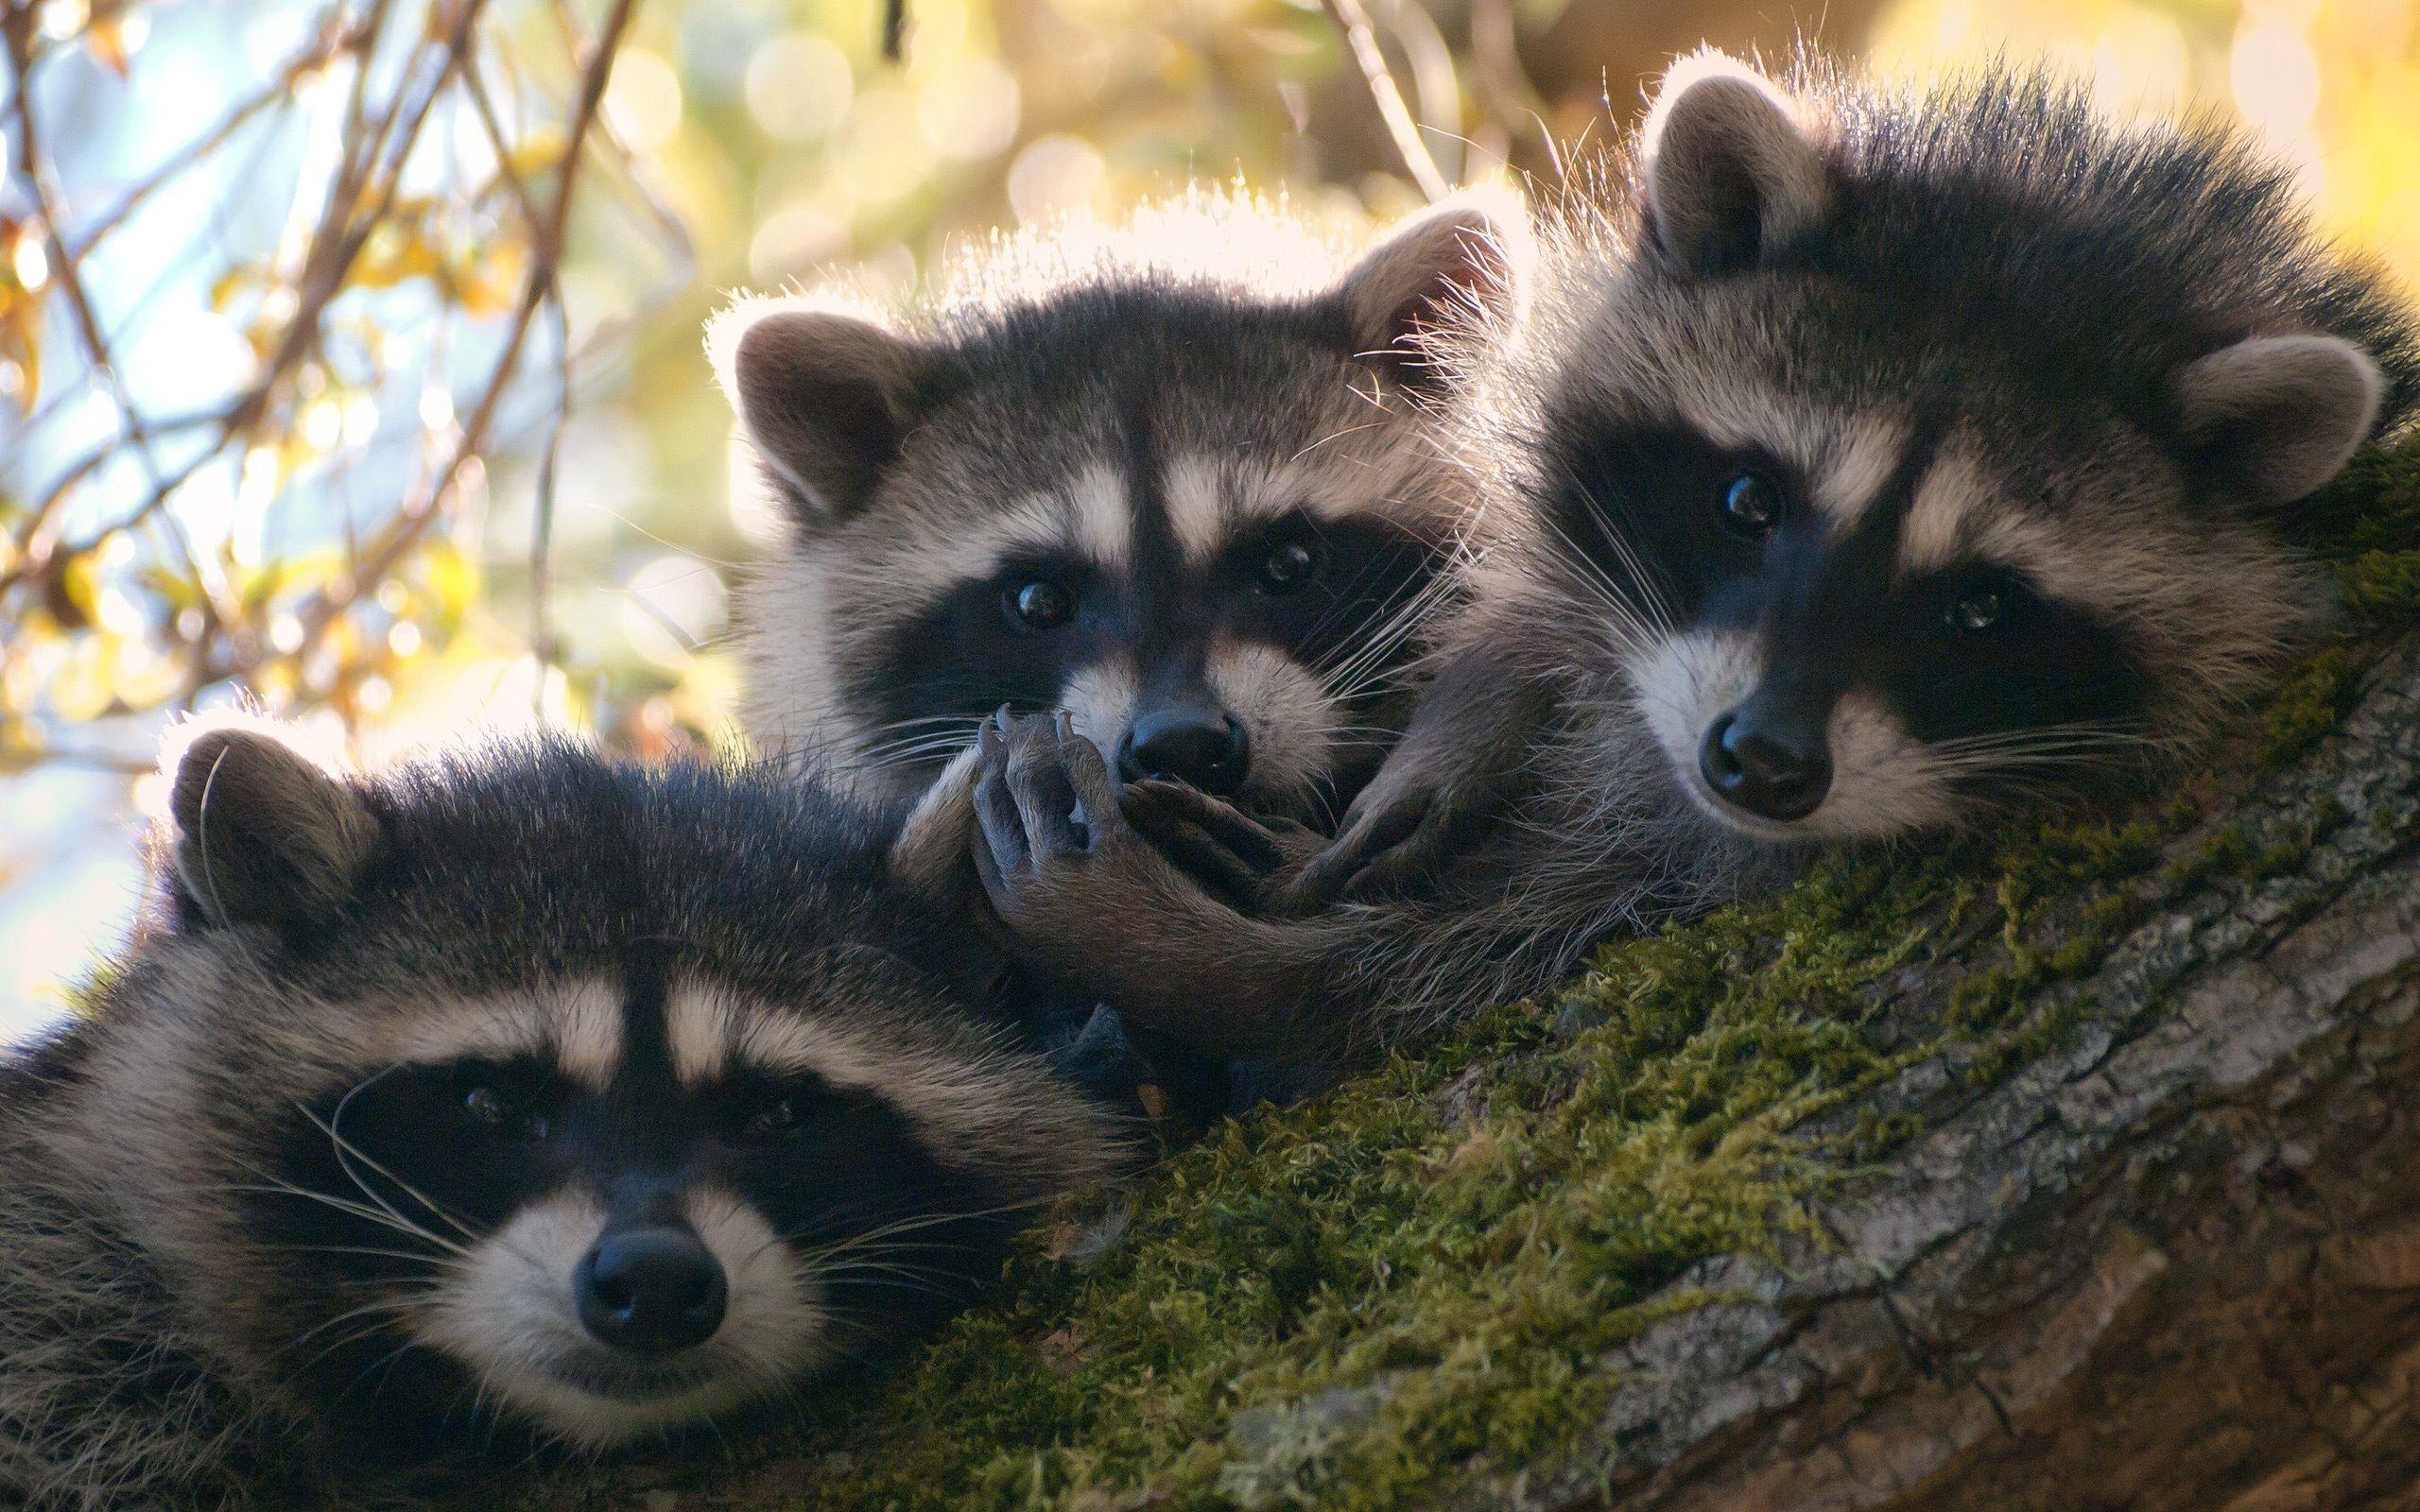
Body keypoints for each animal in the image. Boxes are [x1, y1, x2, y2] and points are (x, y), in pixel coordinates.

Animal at [948, 54, 2419, 1067]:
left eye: (1983, 607)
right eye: (1748, 499)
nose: (1759, 762)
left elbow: (1461, 972)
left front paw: (1220, 966)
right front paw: (1478, 703)